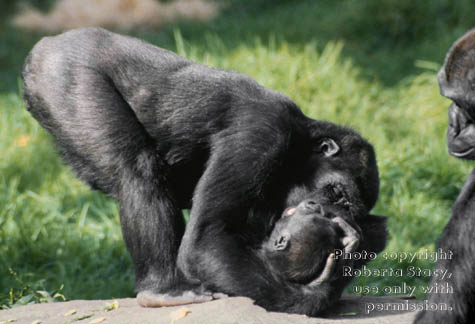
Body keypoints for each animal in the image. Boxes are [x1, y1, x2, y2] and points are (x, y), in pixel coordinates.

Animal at [21, 27, 386, 316]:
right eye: (335, 192)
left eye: (345, 205)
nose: (322, 208)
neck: (298, 143)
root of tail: (48, 43)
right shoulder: (262, 131)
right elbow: (205, 240)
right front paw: (311, 297)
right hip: (66, 73)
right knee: (137, 170)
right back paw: (163, 290)